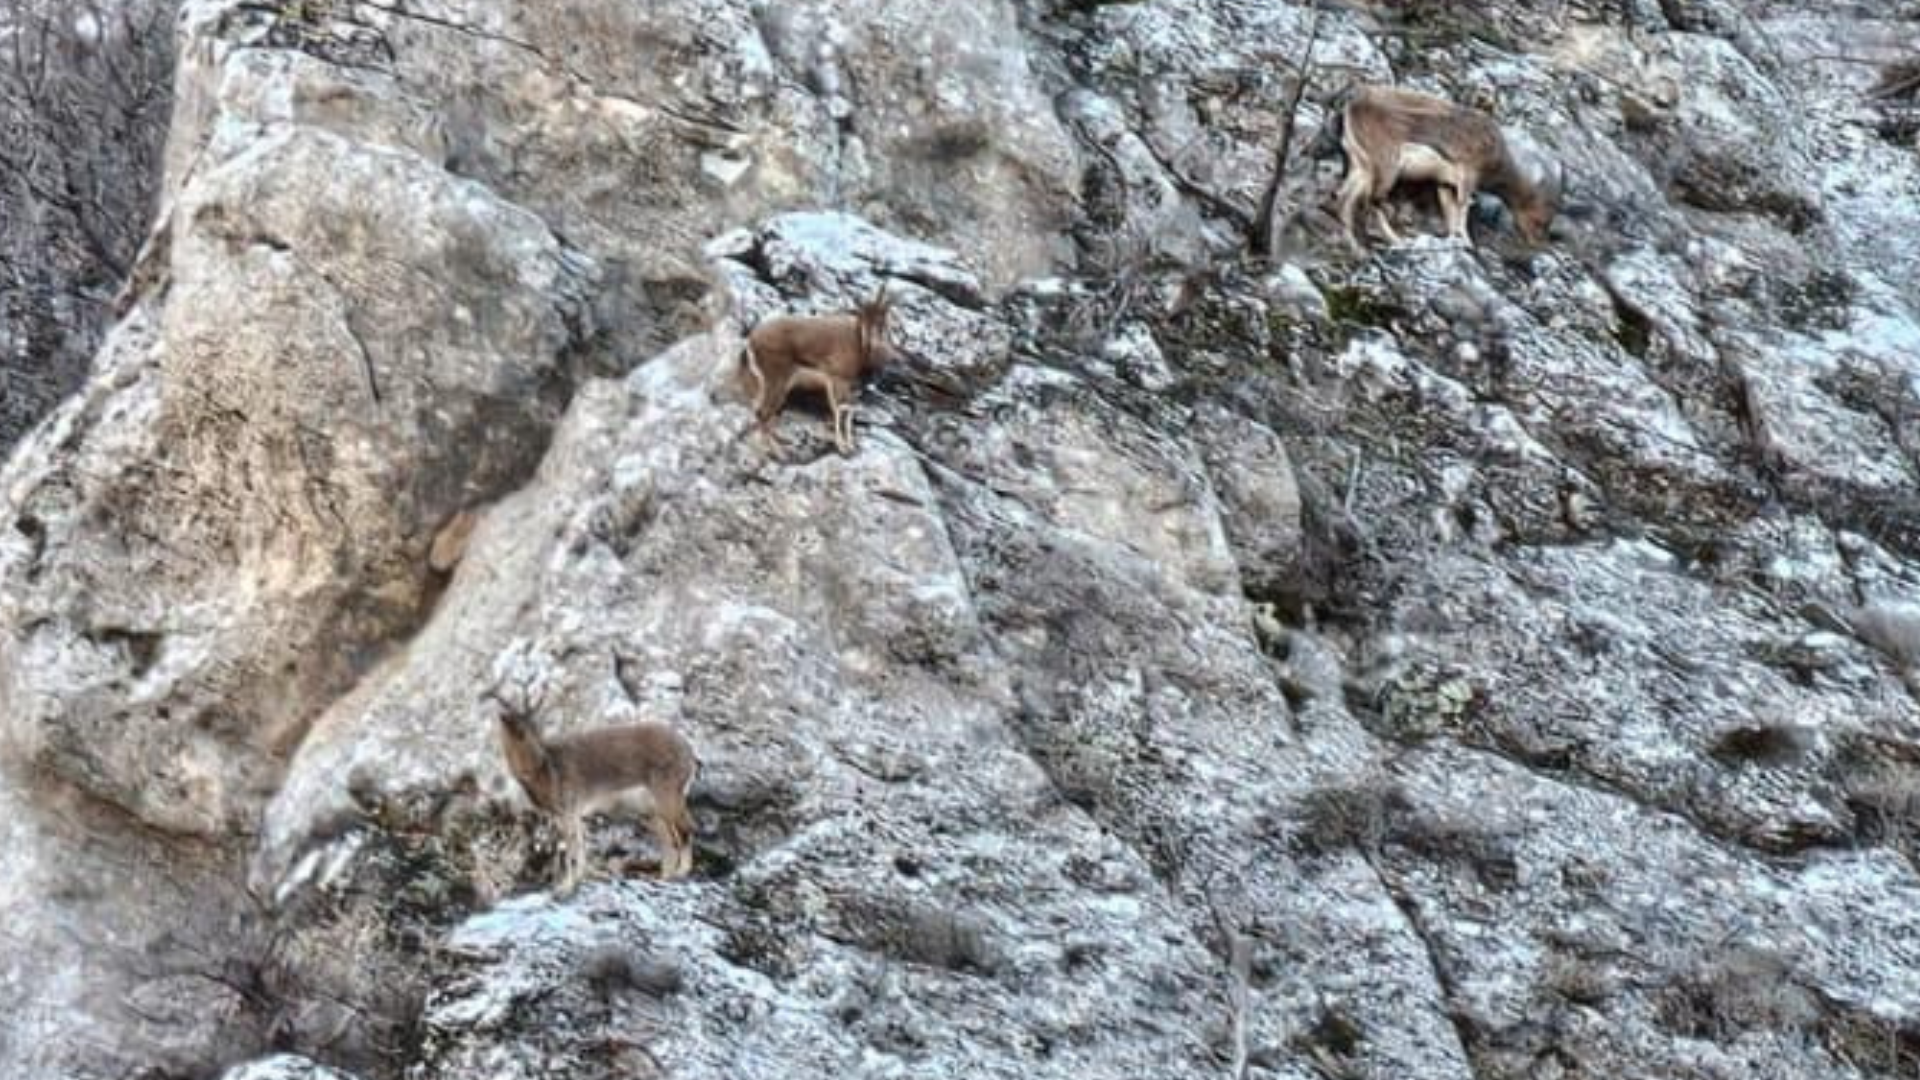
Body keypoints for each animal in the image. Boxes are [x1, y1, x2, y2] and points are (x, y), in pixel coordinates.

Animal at [487, 680, 698, 891]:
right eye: (515, 726)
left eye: (534, 723)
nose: (537, 749)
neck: (545, 772)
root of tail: (689, 753)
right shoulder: (562, 814)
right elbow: (577, 846)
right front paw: (574, 880)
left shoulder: (569, 806)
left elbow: (572, 848)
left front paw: (566, 886)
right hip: (647, 808)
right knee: (668, 838)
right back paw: (665, 876)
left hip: (668, 790)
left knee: (686, 826)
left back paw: (682, 872)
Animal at [737, 278, 894, 451]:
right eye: (863, 318)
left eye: (882, 321)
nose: (872, 342)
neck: (857, 344)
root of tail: (751, 340)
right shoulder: (837, 380)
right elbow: (839, 410)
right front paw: (842, 447)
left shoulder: (849, 386)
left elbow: (848, 411)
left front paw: (850, 445)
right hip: (777, 380)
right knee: (762, 411)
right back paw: (776, 450)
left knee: (758, 408)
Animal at [1336, 84, 1559, 247]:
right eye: (1541, 218)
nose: (1537, 242)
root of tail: (1353, 104)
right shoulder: (1468, 173)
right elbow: (1463, 208)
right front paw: (1466, 243)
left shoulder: (1446, 183)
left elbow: (1450, 210)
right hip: (1386, 164)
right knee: (1372, 201)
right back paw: (1396, 240)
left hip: (1361, 165)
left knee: (1346, 198)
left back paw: (1352, 244)